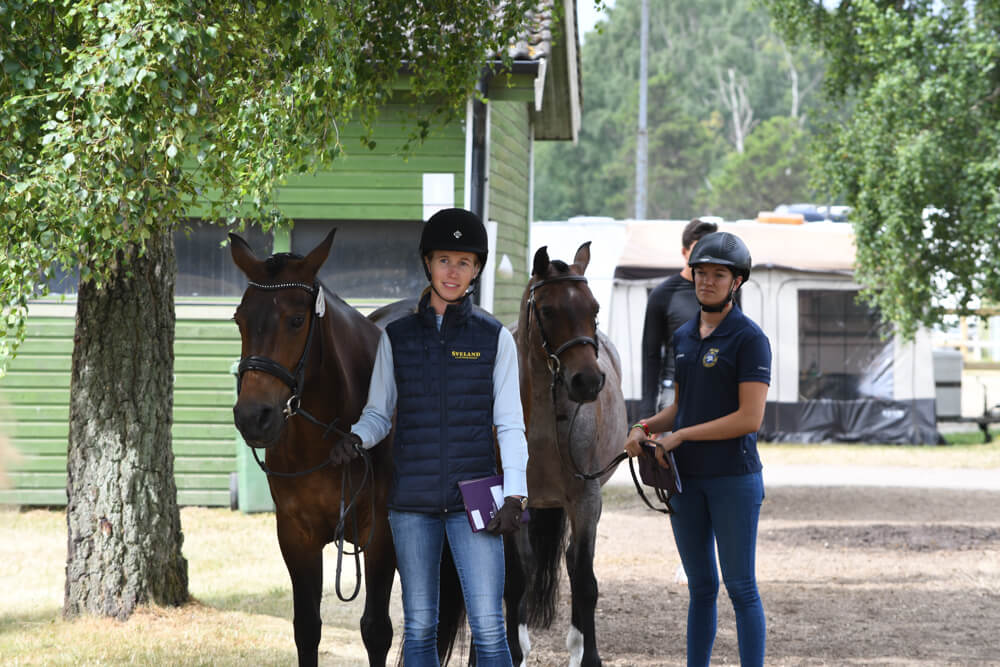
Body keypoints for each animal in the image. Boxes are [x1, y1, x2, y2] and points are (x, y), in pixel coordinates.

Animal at [229, 231, 396, 667]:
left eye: (296, 320)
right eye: (239, 319)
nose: (253, 416)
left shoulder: (383, 534)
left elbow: (377, 630)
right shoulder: (296, 535)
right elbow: (306, 628)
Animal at [508, 244, 624, 667]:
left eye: (593, 308)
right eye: (547, 311)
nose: (587, 381)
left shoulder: (586, 500)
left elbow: (584, 578)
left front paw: (588, 656)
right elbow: (517, 578)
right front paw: (513, 650)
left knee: (575, 563)